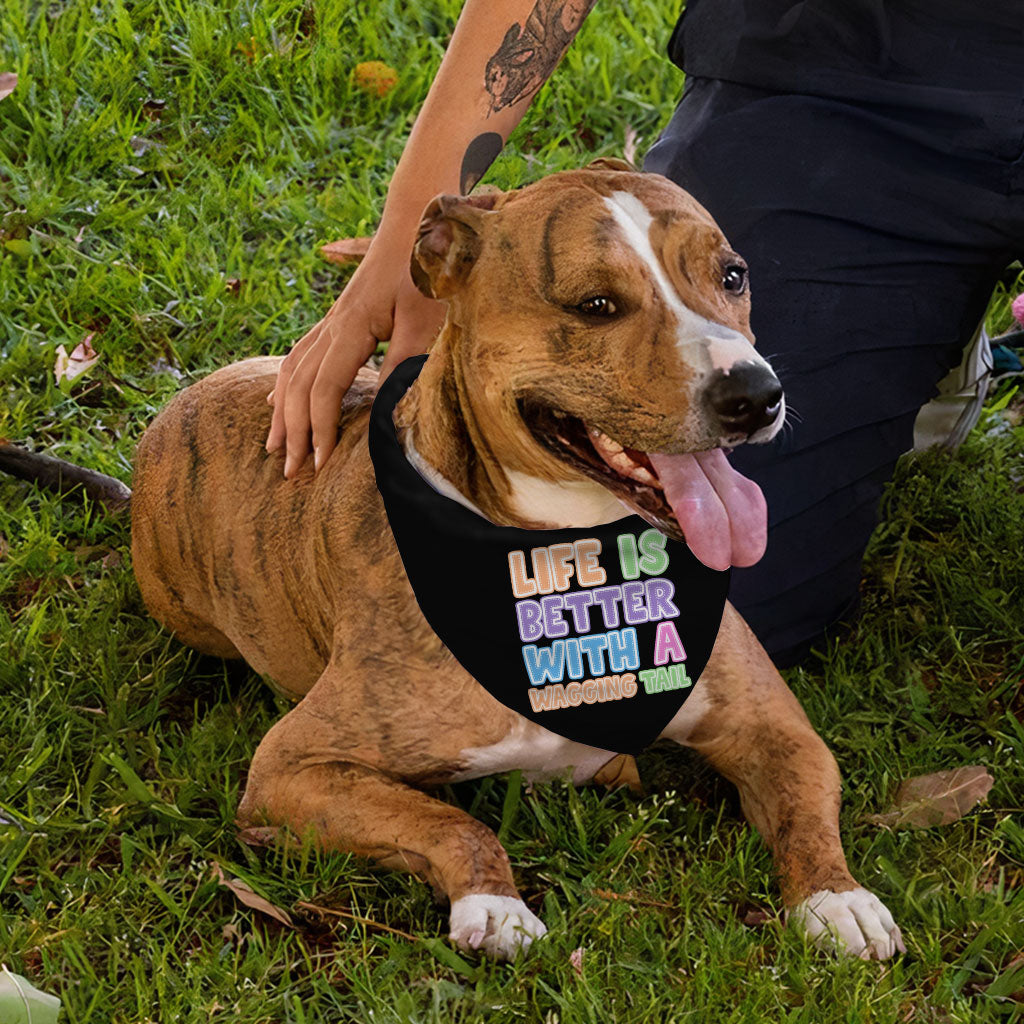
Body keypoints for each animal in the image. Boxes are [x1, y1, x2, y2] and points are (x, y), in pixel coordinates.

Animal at [77, 159, 905, 958]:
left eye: (732, 275)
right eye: (595, 305)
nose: (756, 395)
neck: (568, 564)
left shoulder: (775, 729)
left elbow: (805, 807)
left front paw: (838, 897)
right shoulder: (292, 767)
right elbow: (450, 822)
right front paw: (495, 904)